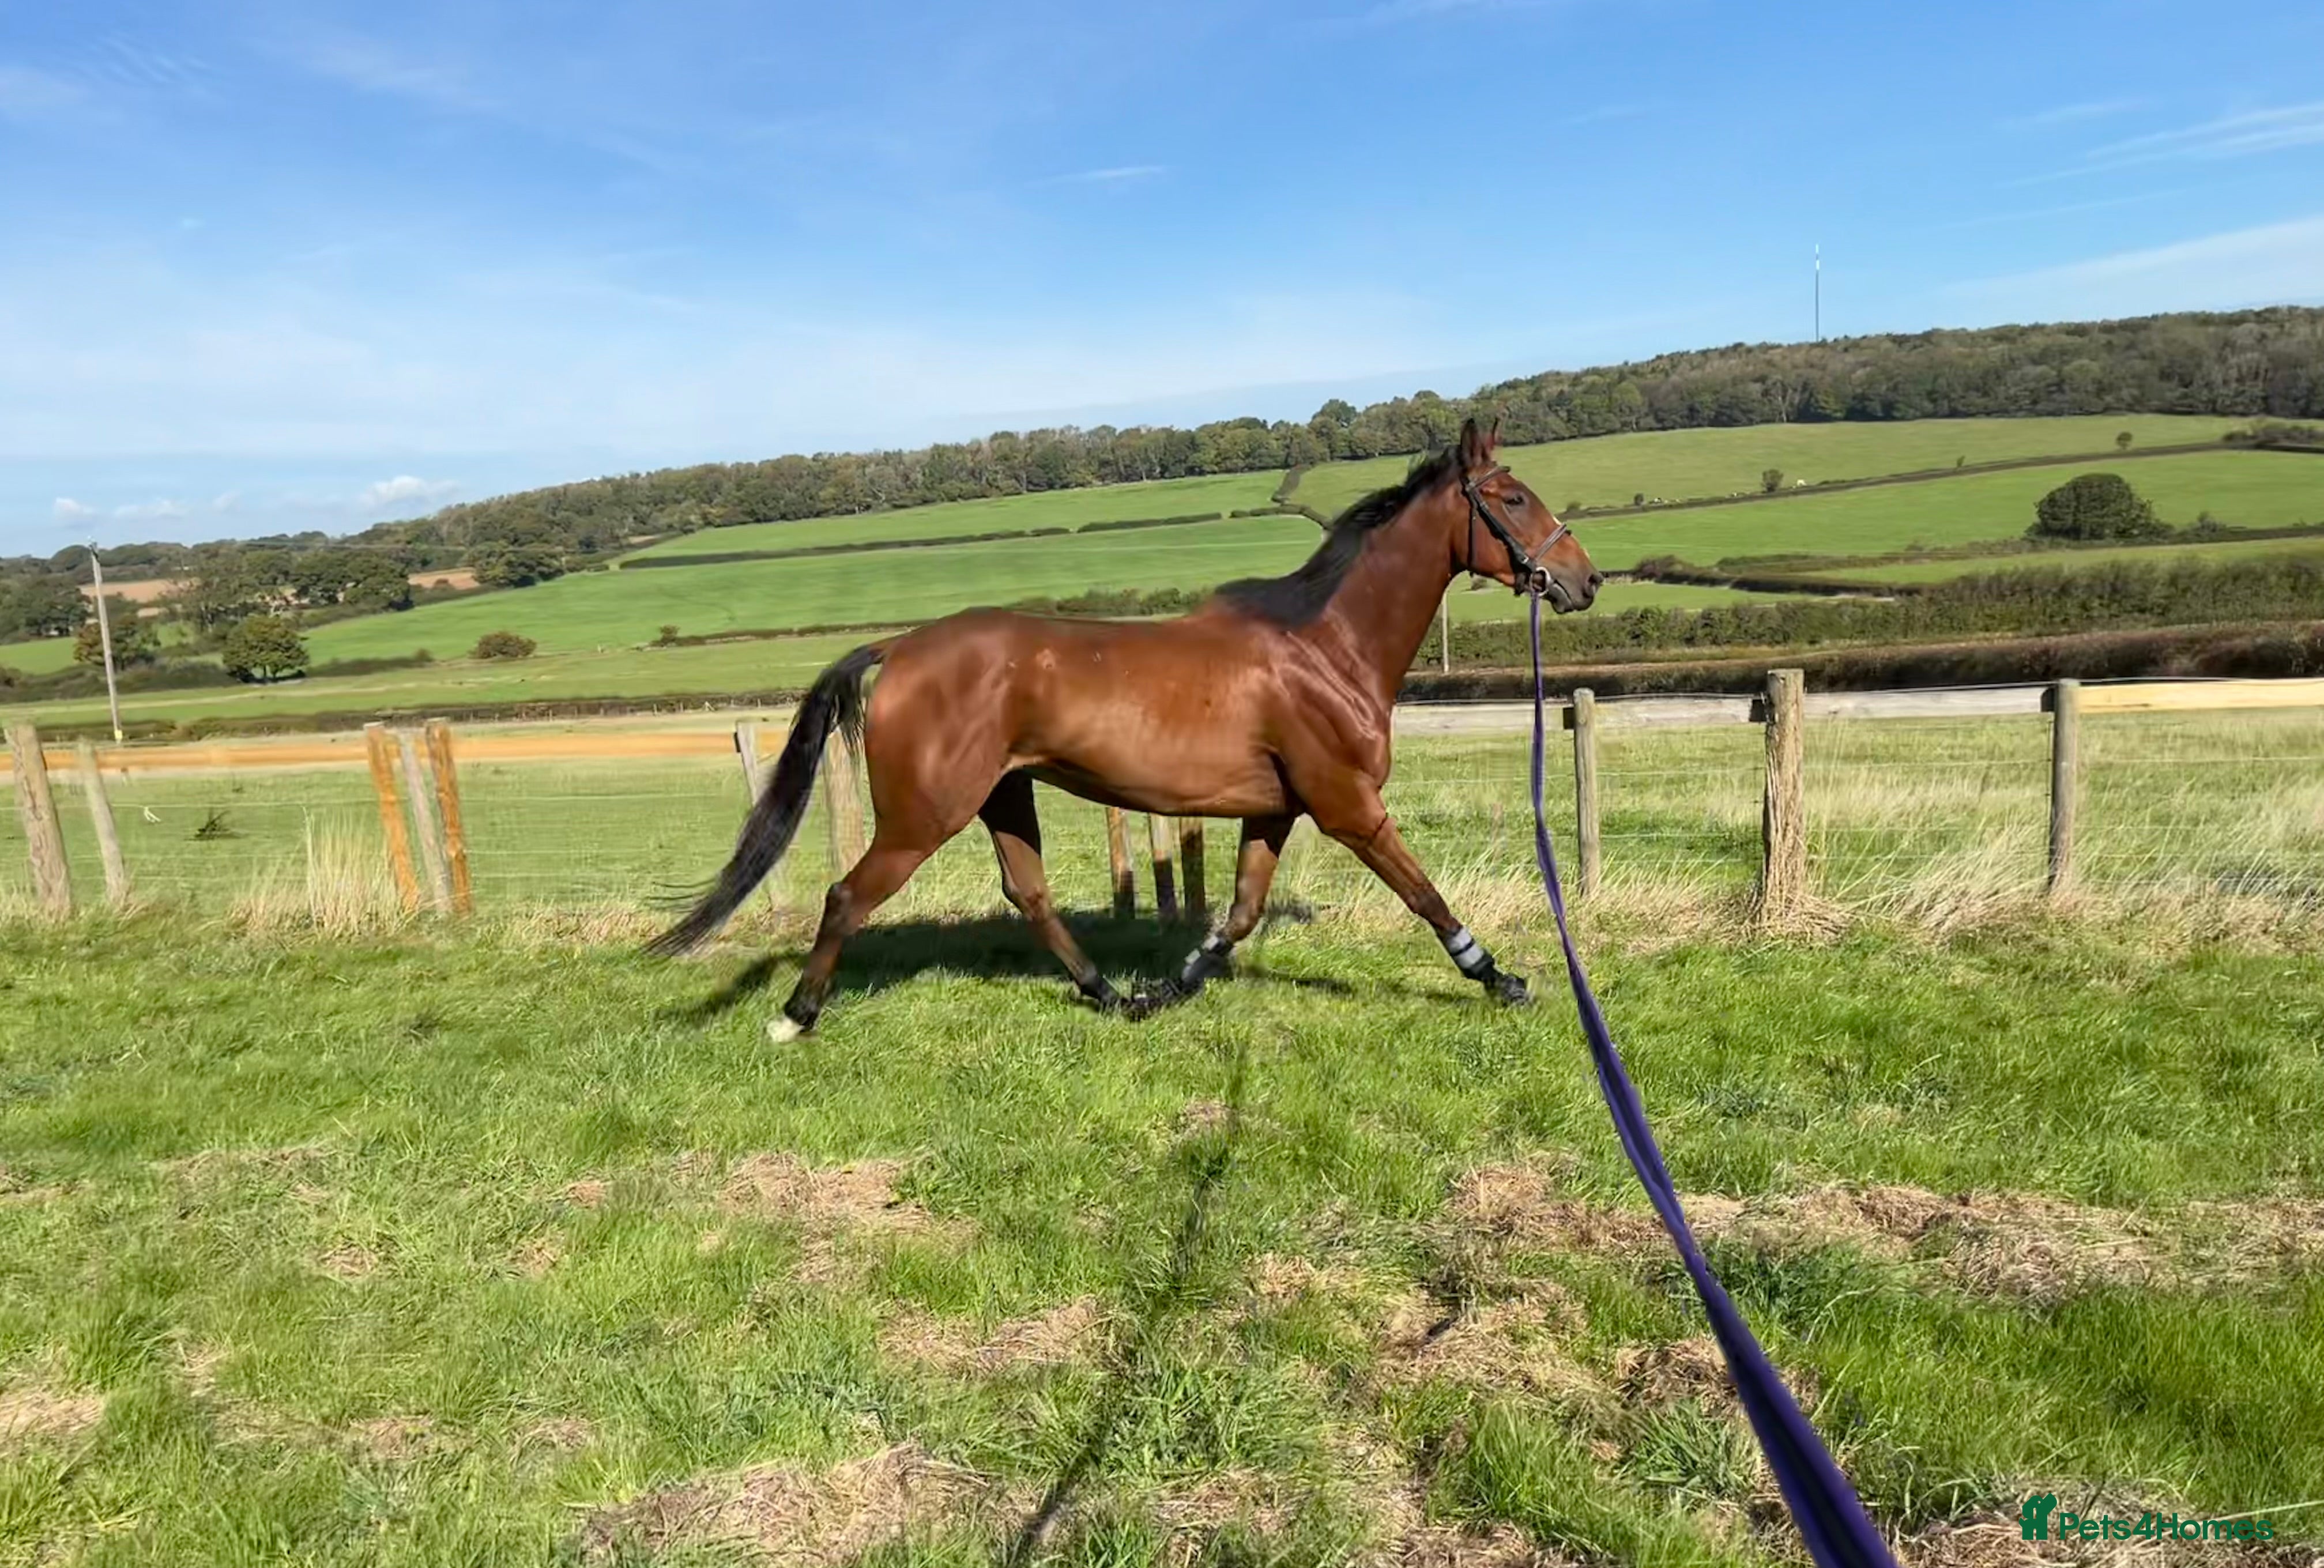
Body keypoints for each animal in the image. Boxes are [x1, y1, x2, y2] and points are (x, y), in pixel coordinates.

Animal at [648, 417, 1601, 1038]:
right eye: (1511, 497)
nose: (1582, 580)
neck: (1324, 646)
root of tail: (902, 648)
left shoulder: (1275, 810)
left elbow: (1237, 916)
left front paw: (1172, 987)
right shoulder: (1347, 807)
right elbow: (1423, 894)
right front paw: (1502, 979)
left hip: (1002, 796)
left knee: (1027, 894)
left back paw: (1110, 995)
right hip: (924, 815)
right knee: (848, 896)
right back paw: (797, 1016)